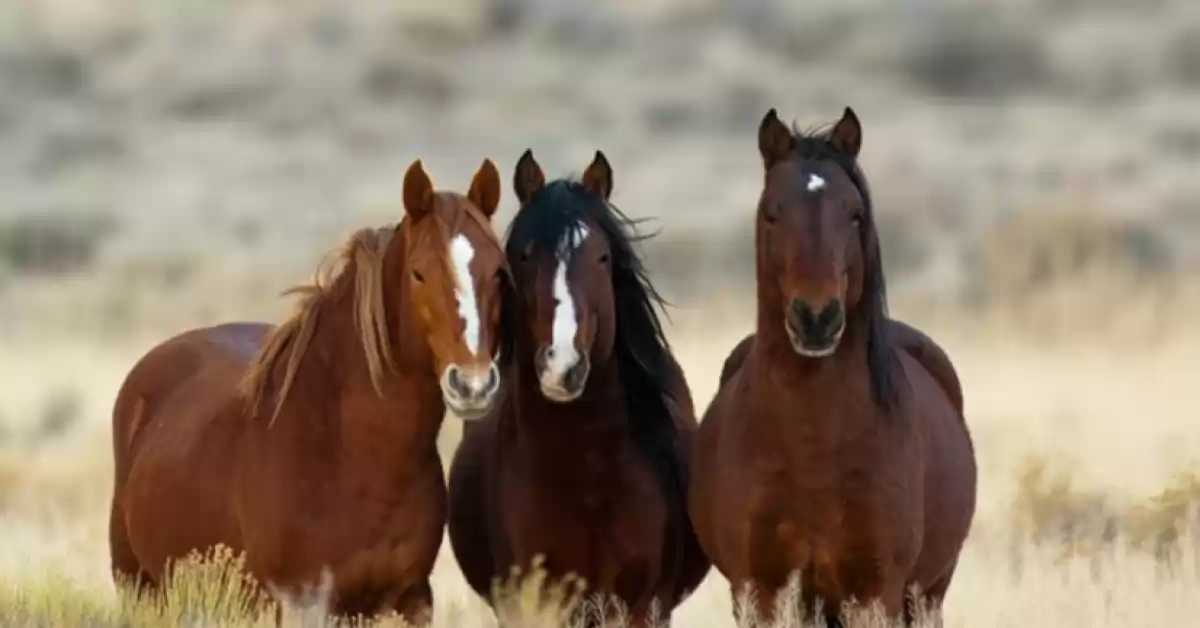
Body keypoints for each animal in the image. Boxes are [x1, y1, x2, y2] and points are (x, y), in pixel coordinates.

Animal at [106, 158, 511, 624]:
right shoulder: (298, 602)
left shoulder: (410, 599)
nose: (473, 383)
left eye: (498, 272)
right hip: (140, 587)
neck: (351, 454)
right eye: (419, 272)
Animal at [691, 108, 979, 624]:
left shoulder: (874, 592)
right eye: (772, 212)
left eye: (854, 213)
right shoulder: (759, 589)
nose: (816, 318)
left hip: (927, 595)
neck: (813, 443)